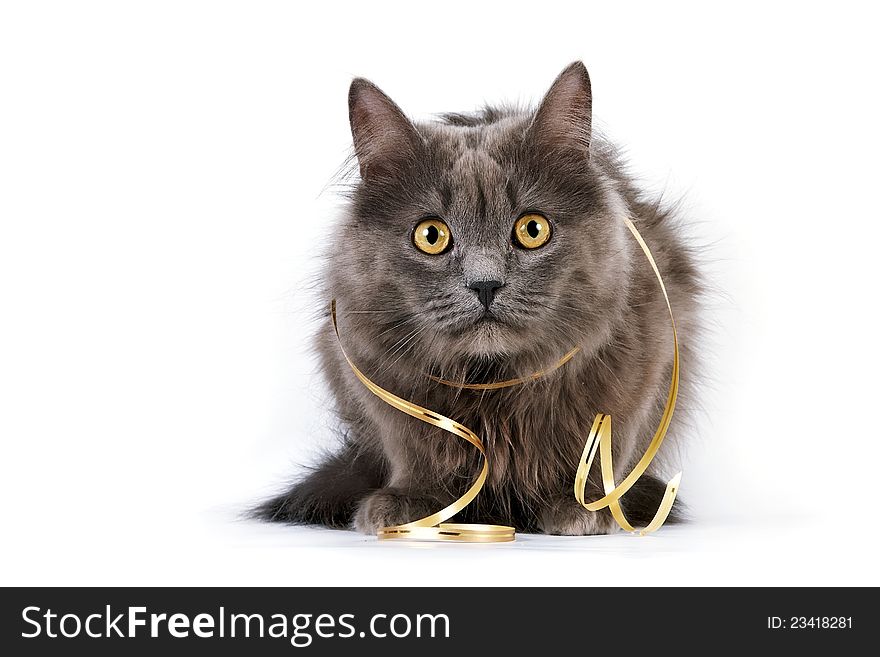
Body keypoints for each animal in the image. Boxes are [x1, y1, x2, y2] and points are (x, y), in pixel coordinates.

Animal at [254, 61, 700, 532]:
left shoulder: (647, 357)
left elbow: (607, 444)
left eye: (533, 229)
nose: (485, 284)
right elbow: (412, 446)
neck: (490, 386)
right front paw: (412, 504)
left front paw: (586, 504)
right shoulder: (365, 368)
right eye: (431, 236)